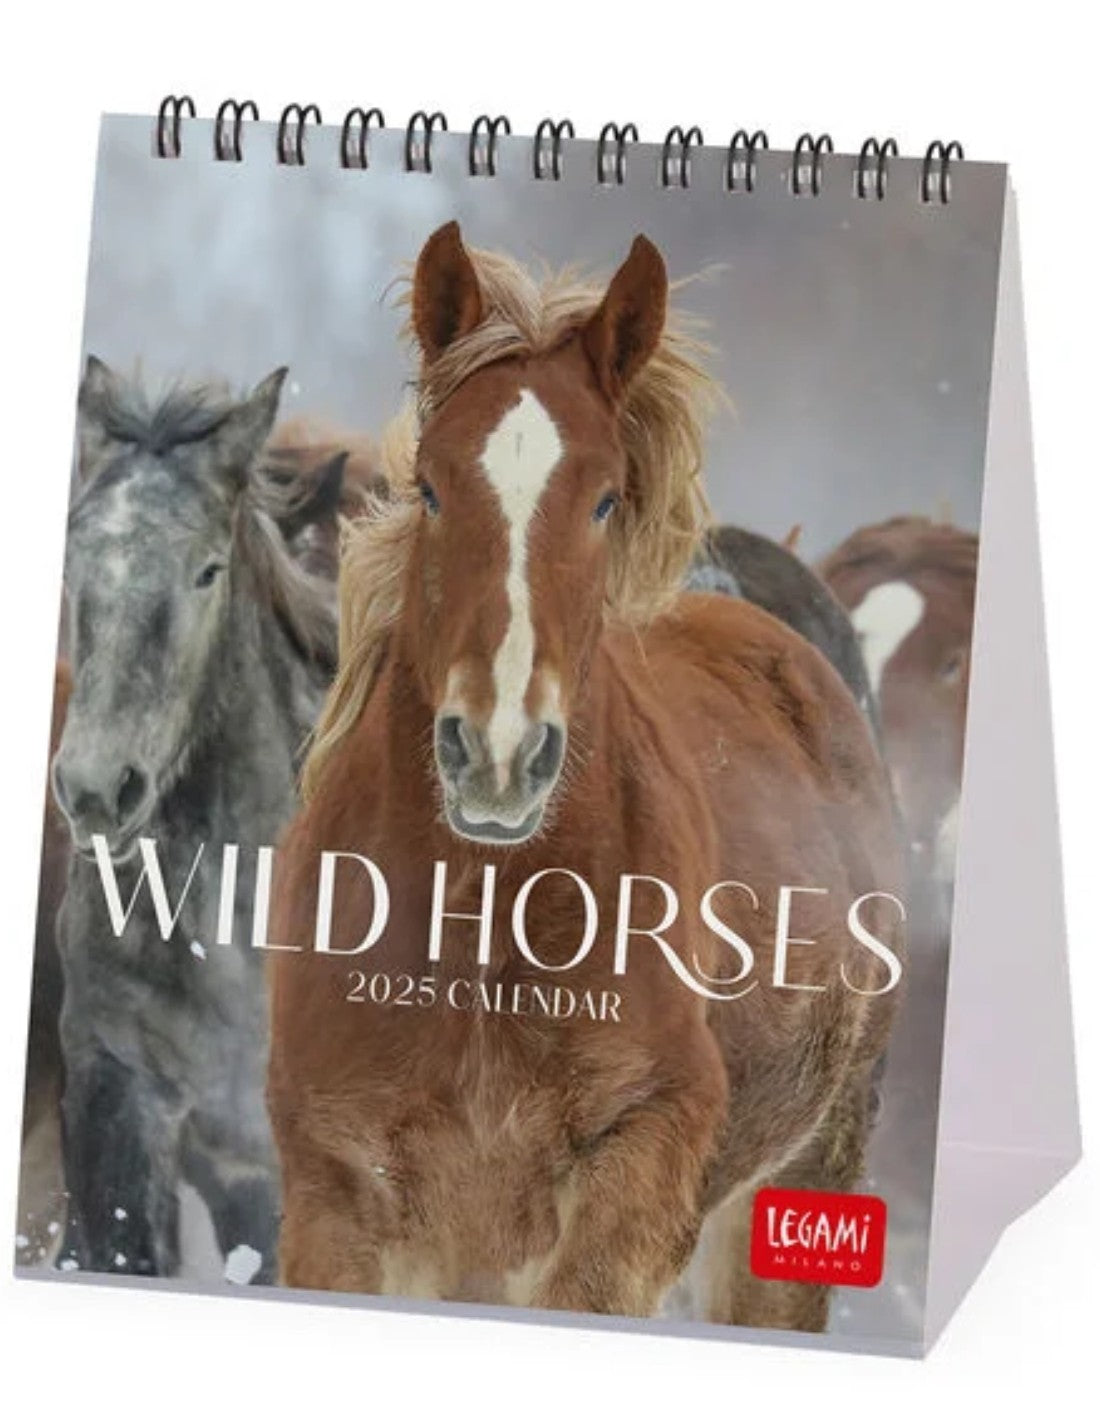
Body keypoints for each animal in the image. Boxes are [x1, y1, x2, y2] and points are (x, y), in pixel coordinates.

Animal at [266, 224, 904, 1332]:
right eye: (429, 485)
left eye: (605, 497)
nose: (499, 756)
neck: (483, 926)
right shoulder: (338, 1197)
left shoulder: (631, 1188)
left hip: (799, 1182)